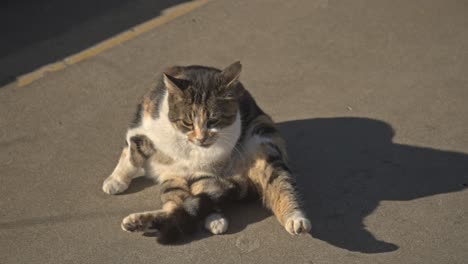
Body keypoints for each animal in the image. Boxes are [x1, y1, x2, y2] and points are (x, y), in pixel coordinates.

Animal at [104, 62, 312, 243]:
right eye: (187, 122)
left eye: (214, 120)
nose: (201, 138)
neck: (188, 147)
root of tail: (242, 176)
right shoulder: (142, 129)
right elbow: (132, 154)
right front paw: (115, 181)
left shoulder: (206, 168)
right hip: (174, 177)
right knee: (176, 206)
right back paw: (136, 222)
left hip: (264, 141)